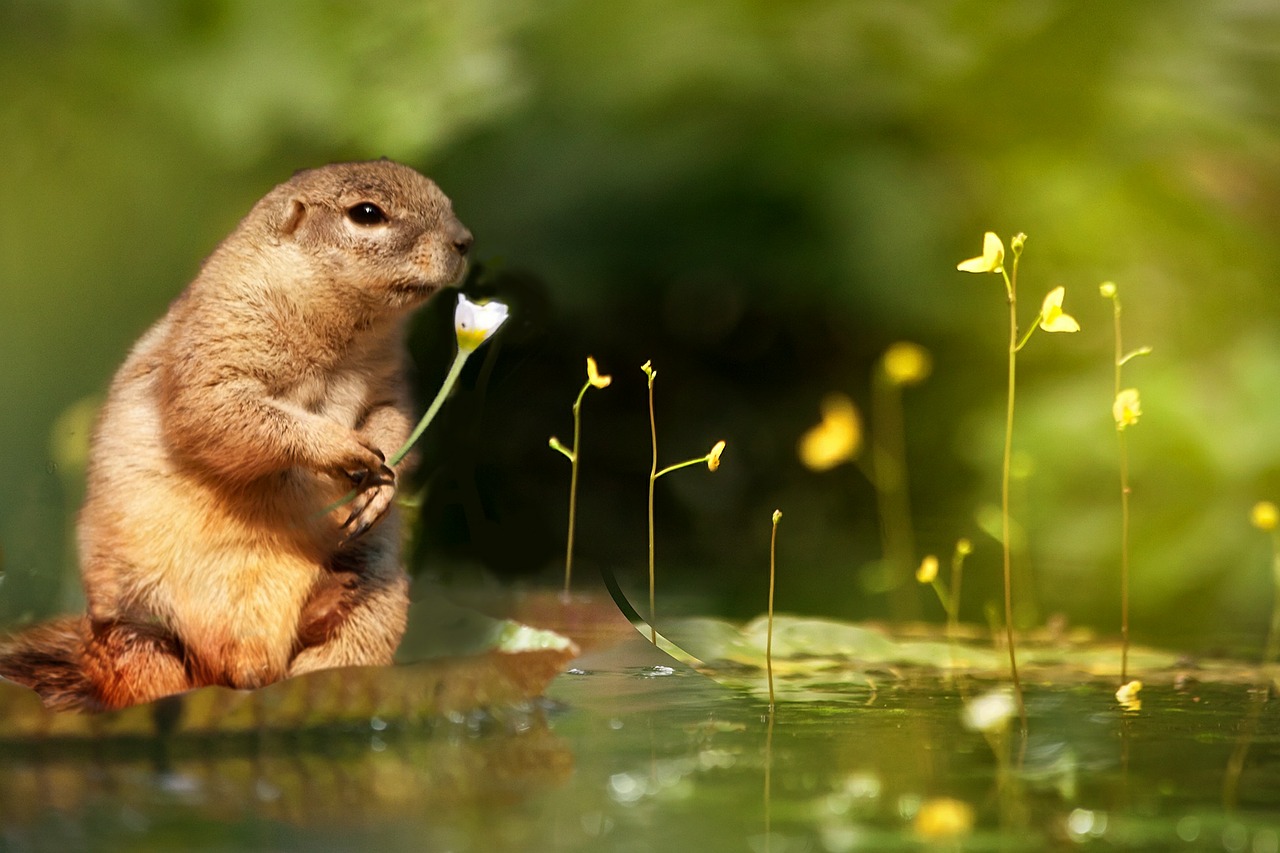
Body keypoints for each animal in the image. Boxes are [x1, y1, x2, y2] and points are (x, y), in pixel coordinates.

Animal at [0, 156, 473, 706]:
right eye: (367, 213)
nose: (464, 241)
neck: (344, 335)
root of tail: (245, 669)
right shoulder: (220, 343)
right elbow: (223, 411)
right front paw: (339, 448)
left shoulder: (390, 382)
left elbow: (394, 421)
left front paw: (380, 485)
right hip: (133, 630)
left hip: (377, 599)